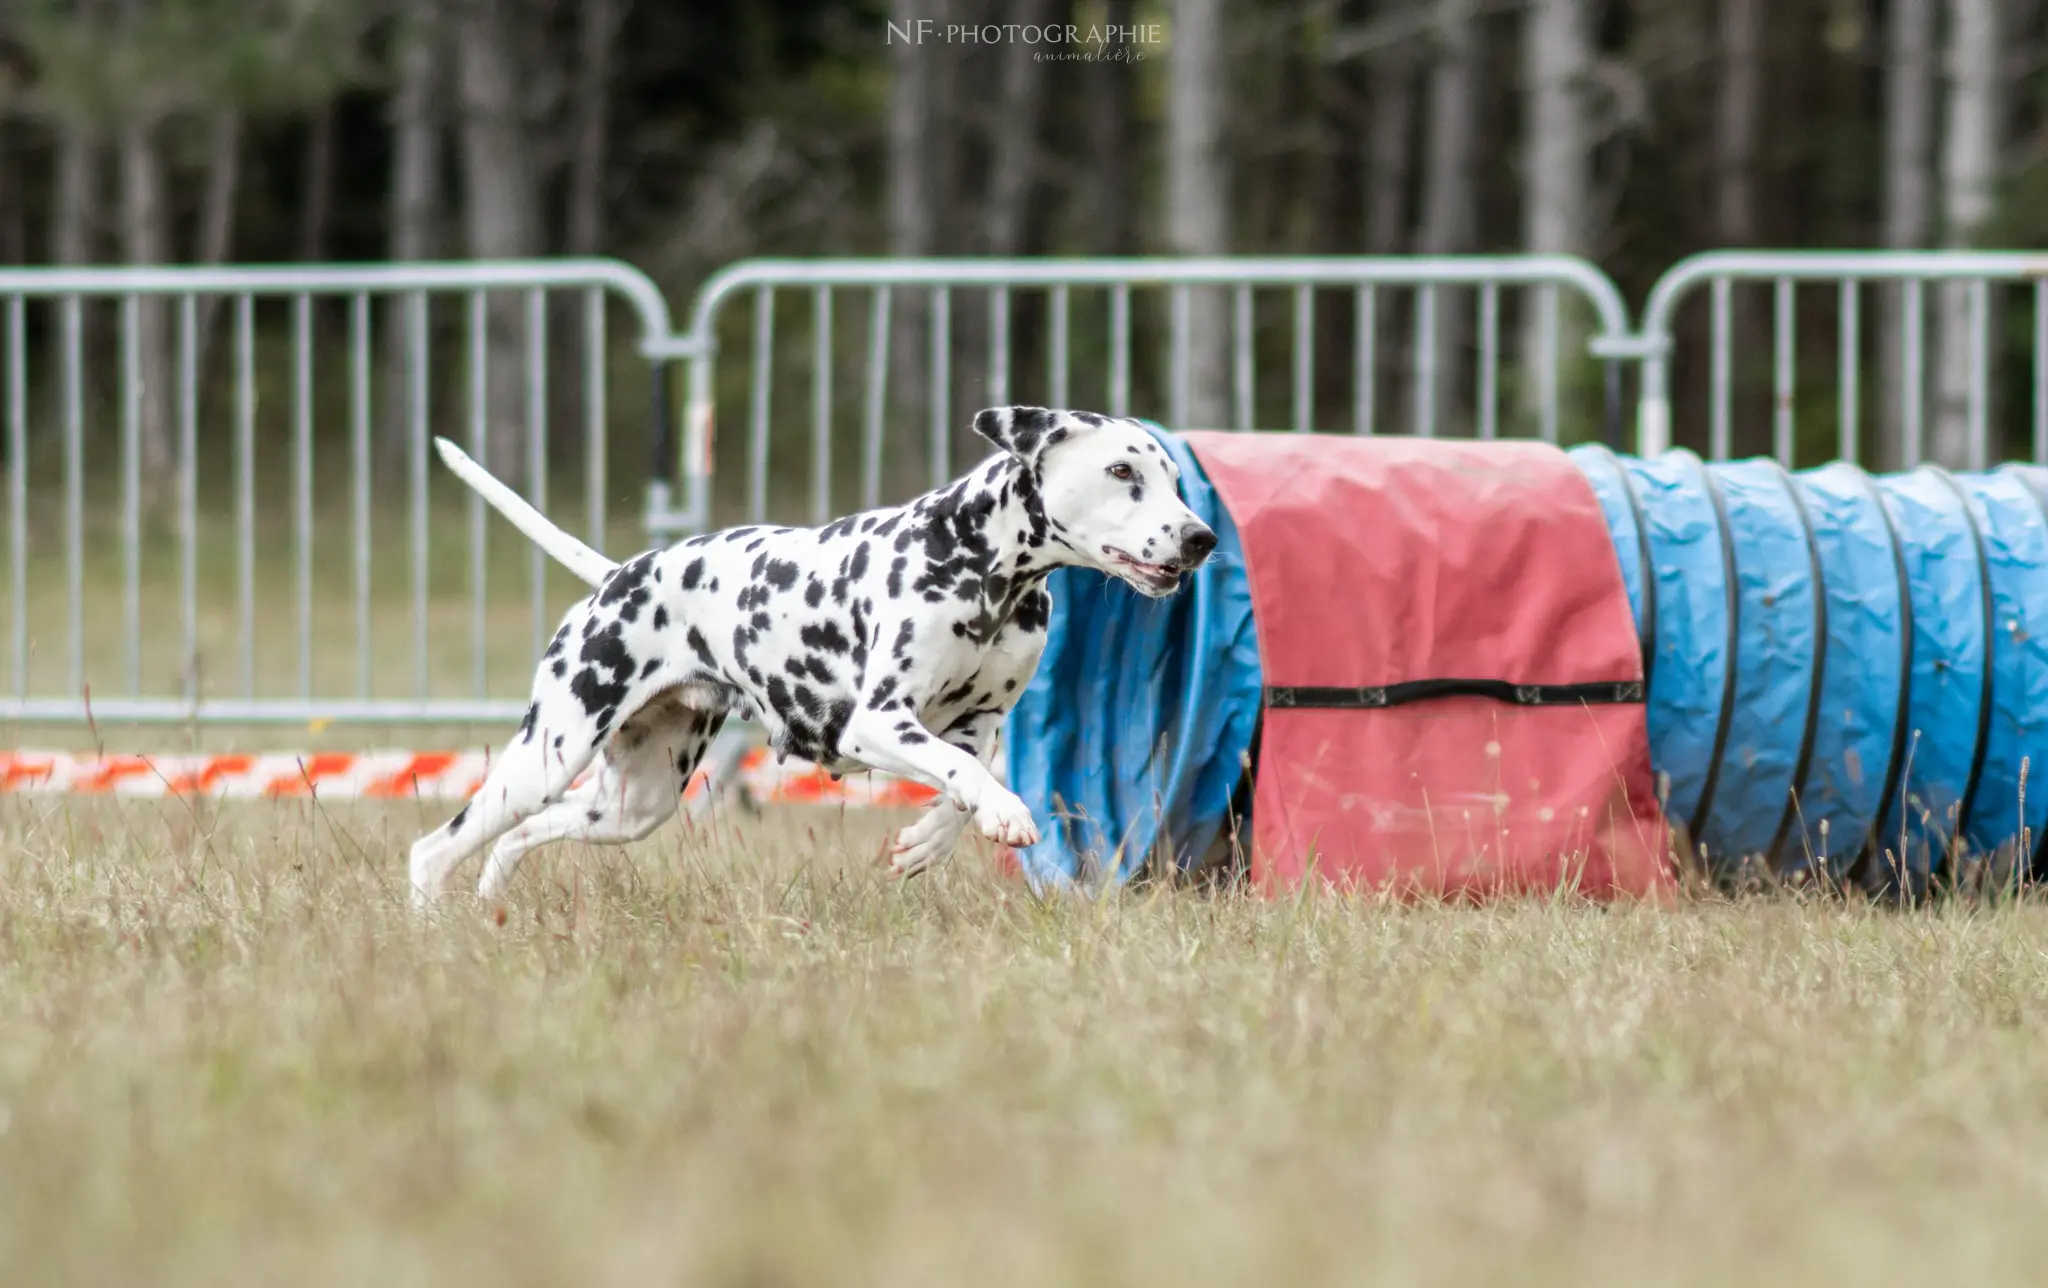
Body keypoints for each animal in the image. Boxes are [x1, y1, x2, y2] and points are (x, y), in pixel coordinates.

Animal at [413, 403, 1212, 905]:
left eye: (1176, 480)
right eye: (1121, 473)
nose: (1201, 537)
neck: (983, 567)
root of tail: (617, 576)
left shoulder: (978, 724)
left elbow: (968, 775)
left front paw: (928, 840)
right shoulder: (877, 724)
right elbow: (962, 774)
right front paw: (1005, 817)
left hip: (633, 804)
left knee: (516, 839)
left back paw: (491, 904)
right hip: (547, 756)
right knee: (434, 851)